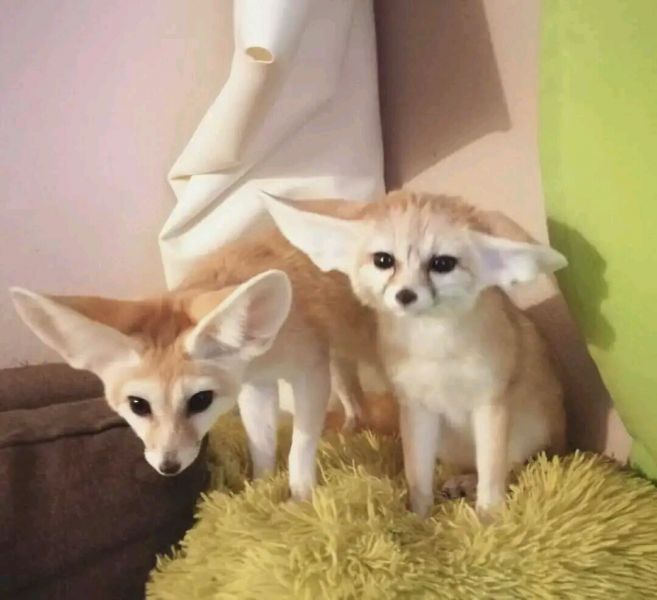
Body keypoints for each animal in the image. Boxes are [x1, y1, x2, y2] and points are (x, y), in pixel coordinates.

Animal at [10, 224, 381, 501]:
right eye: (137, 405)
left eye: (200, 401)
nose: (168, 466)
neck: (267, 347)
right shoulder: (256, 385)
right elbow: (261, 444)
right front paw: (261, 491)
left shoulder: (310, 372)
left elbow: (300, 446)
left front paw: (301, 498)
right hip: (340, 351)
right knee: (351, 387)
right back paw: (353, 425)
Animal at [263, 189, 568, 516]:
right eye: (383, 260)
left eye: (442, 263)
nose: (405, 295)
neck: (436, 353)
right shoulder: (417, 408)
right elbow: (418, 476)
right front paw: (419, 519)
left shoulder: (490, 403)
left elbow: (492, 477)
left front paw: (488, 520)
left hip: (530, 438)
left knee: (515, 466)